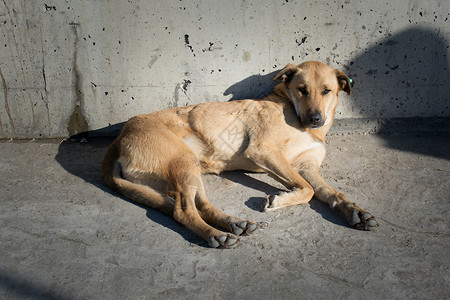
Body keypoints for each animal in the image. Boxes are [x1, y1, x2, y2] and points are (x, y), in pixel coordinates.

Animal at [102, 61, 376, 248]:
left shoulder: (307, 167)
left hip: (190, 168)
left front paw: (356, 212)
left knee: (199, 204)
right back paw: (217, 235)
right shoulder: (265, 151)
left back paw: (233, 223)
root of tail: (118, 139)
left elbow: (332, 193)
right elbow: (307, 191)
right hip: (181, 161)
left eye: (327, 90)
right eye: (302, 89)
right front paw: (280, 200)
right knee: (183, 211)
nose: (315, 119)